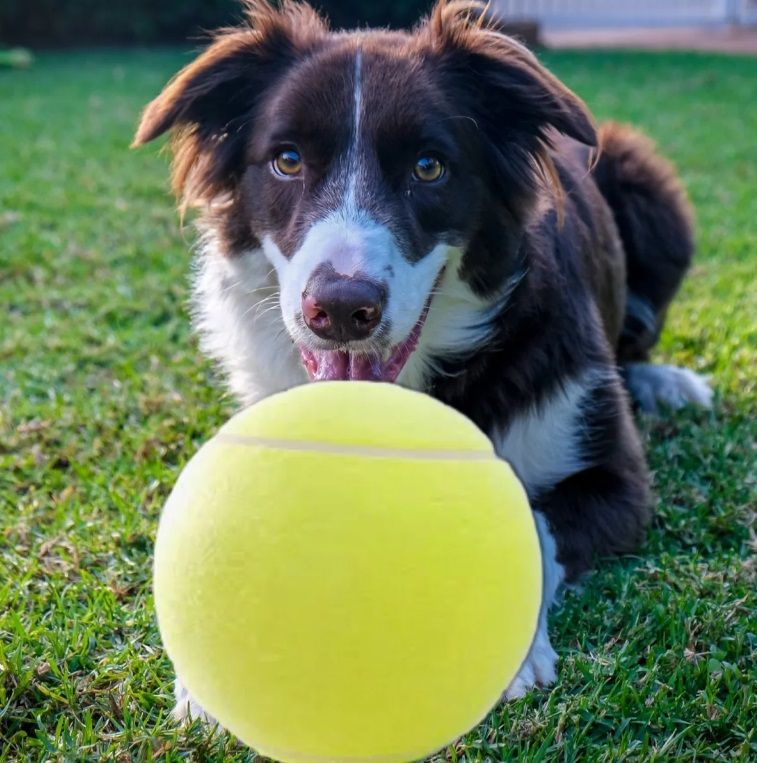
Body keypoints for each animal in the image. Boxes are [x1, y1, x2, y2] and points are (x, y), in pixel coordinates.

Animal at [133, 0, 712, 724]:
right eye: (287, 161)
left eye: (429, 167)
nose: (341, 309)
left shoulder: (617, 480)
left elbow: (534, 520)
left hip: (647, 185)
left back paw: (666, 381)